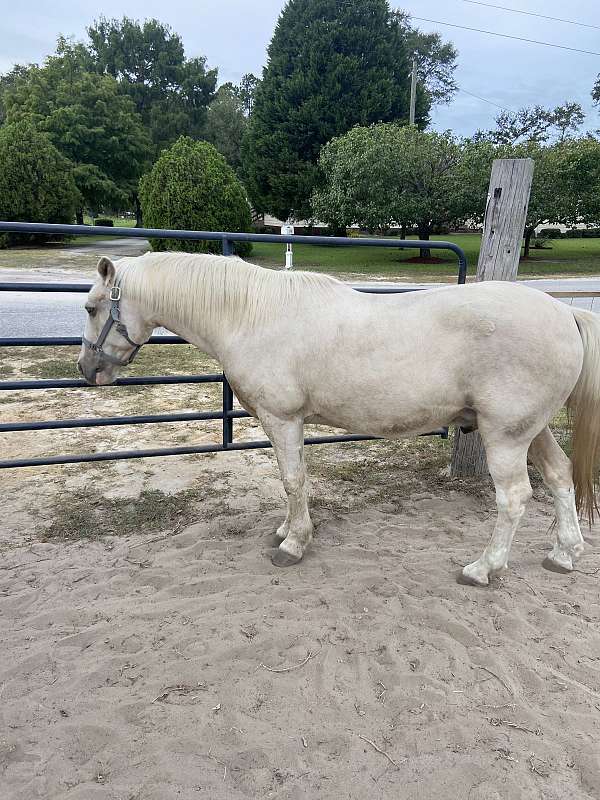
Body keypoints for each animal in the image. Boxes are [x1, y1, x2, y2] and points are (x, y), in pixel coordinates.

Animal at [78, 253, 600, 584]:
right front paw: (287, 530)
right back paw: (563, 555)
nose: (88, 370)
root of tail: (563, 311)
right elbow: (293, 482)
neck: (251, 316)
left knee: (513, 498)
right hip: (529, 430)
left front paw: (293, 545)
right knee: (559, 476)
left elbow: (293, 480)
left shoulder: (283, 419)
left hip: (505, 436)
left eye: (90, 307)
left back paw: (483, 569)